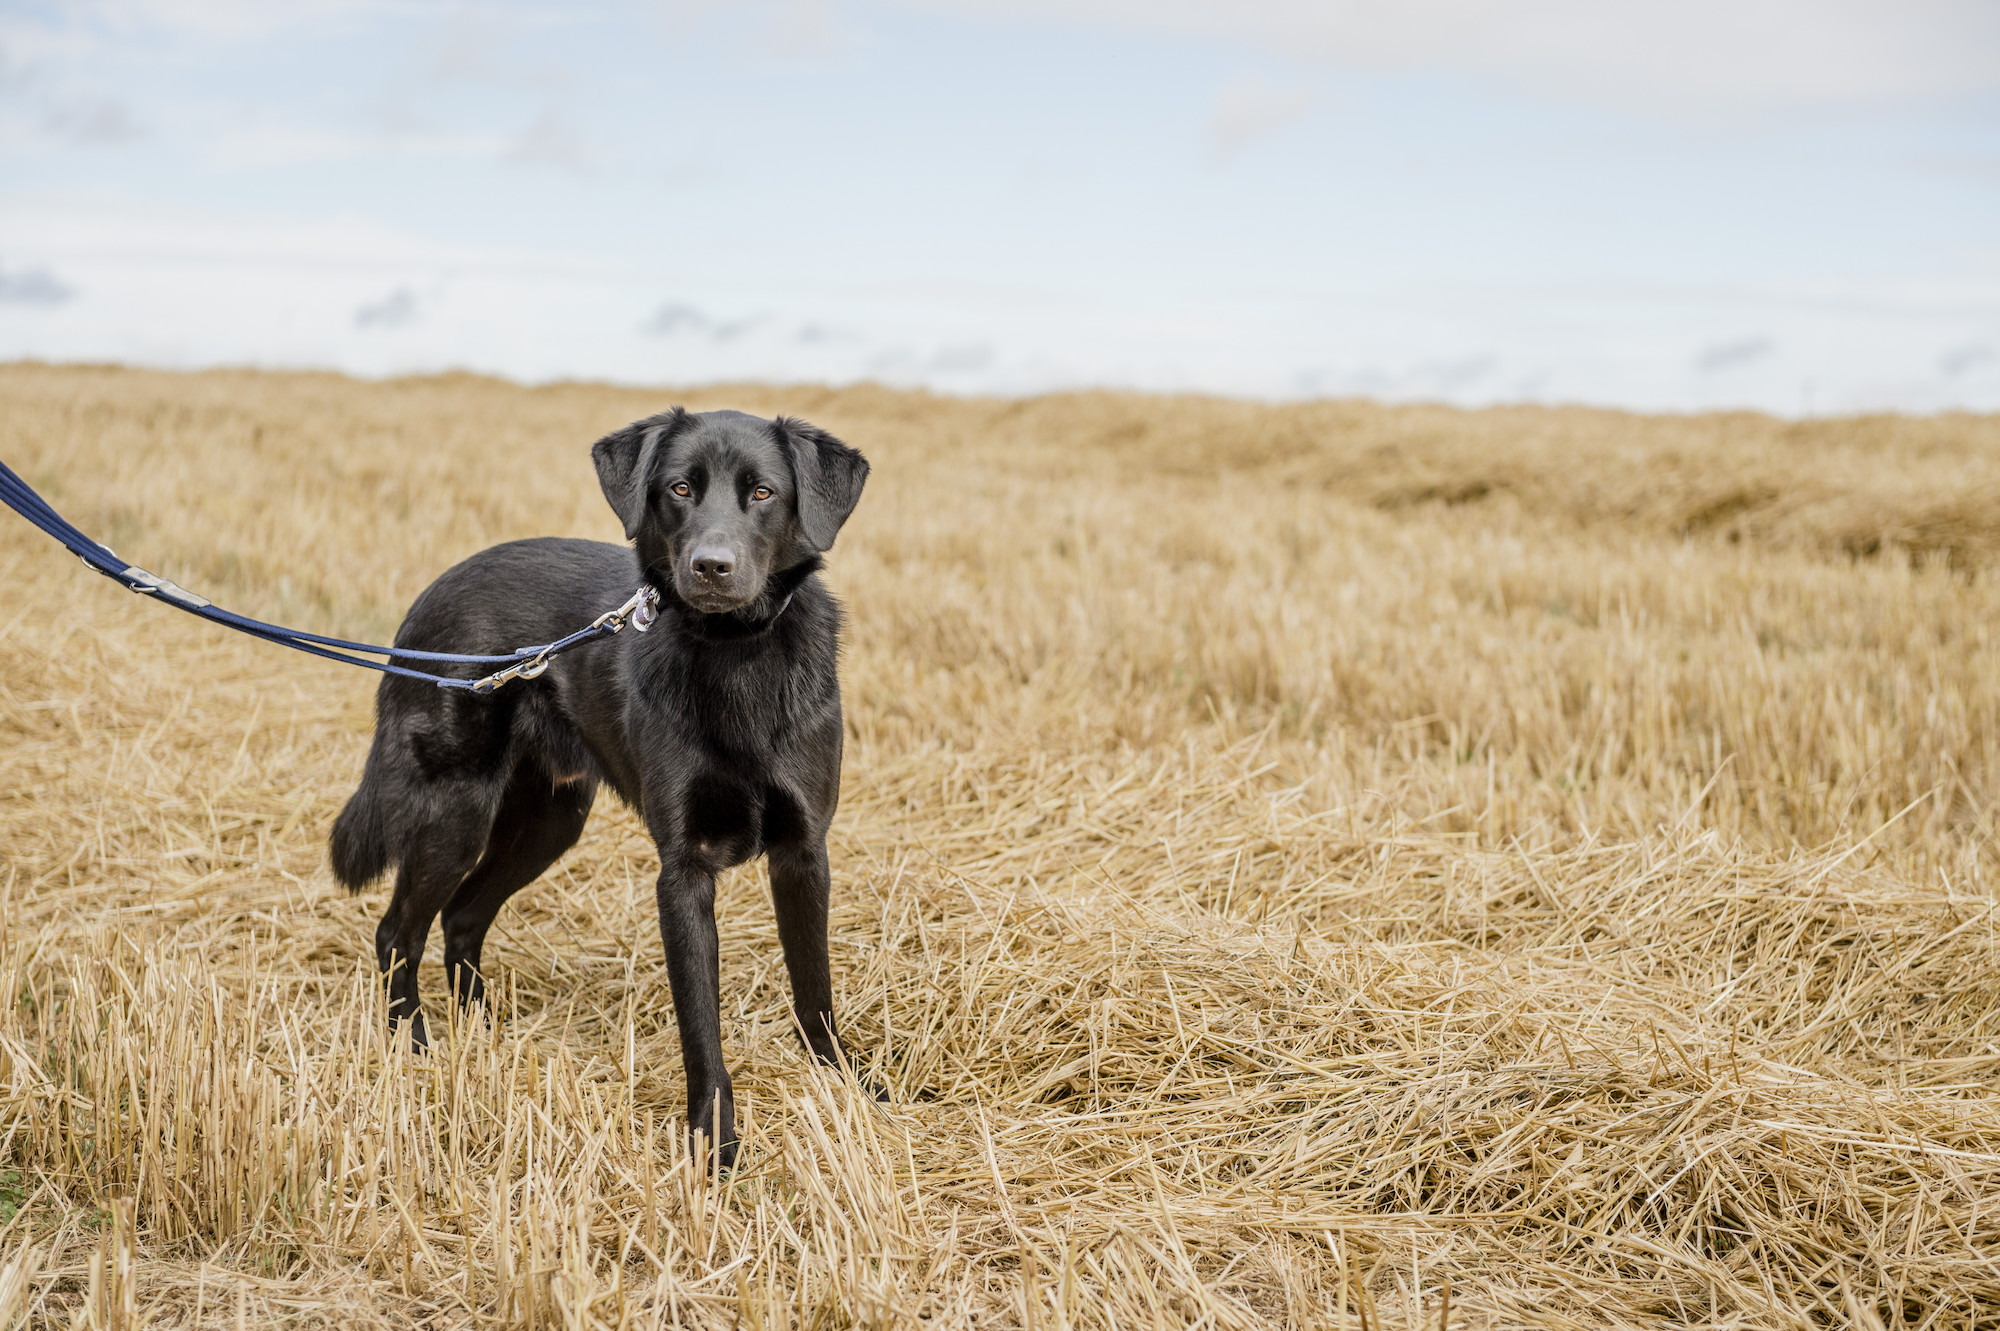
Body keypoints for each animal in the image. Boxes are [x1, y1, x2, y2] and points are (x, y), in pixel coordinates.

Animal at [332, 407, 872, 1159]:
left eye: (764, 493)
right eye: (679, 488)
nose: (711, 567)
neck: (735, 653)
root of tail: (426, 601)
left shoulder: (804, 852)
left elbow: (814, 987)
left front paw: (848, 1090)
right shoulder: (683, 872)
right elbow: (701, 1027)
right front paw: (713, 1147)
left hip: (549, 821)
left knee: (462, 917)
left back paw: (483, 1039)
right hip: (454, 816)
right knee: (396, 934)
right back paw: (413, 1049)